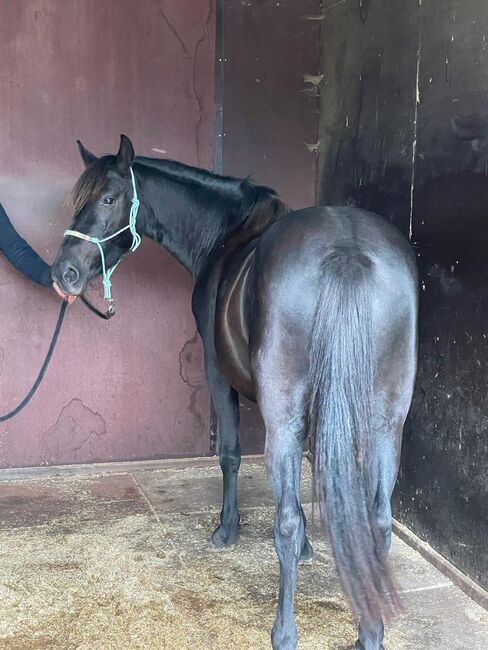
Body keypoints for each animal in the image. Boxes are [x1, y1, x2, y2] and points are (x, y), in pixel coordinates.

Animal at [54, 134, 420, 644]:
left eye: (108, 199)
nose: (62, 273)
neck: (227, 234)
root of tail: (346, 250)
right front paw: (310, 548)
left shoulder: (218, 373)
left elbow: (229, 454)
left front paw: (226, 531)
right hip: (387, 423)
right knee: (379, 523)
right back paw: (369, 634)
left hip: (285, 415)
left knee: (285, 522)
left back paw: (284, 633)